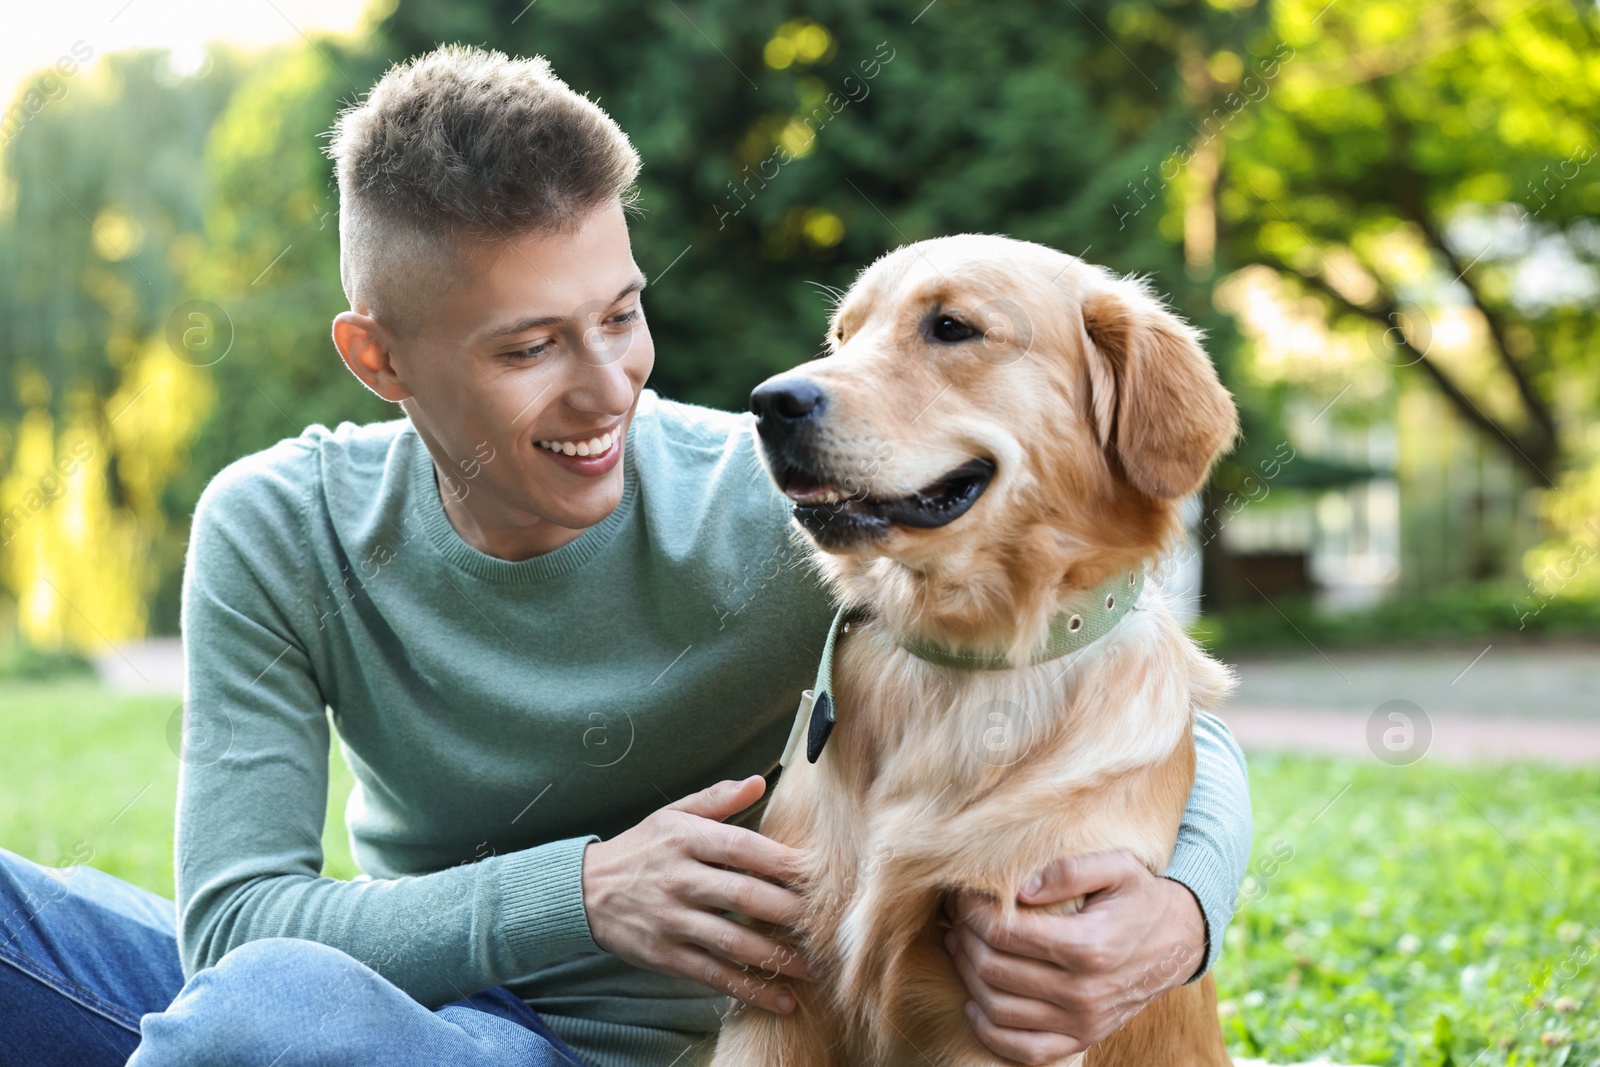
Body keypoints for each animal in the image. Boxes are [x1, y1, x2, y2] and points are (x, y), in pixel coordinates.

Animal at [720, 235, 1241, 1067]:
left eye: (952, 327)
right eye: (842, 336)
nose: (769, 402)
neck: (964, 660)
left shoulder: (1021, 996)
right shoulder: (773, 982)